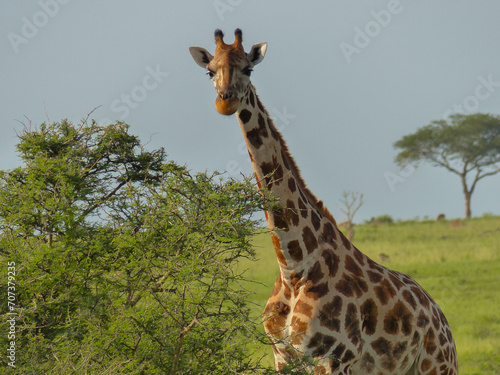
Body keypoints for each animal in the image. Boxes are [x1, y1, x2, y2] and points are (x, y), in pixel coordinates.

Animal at [188, 29, 458, 375]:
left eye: (248, 69)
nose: (226, 101)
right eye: (210, 71)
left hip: (436, 366)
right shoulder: (282, 357)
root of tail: (441, 319)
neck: (294, 267)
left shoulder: (332, 358)